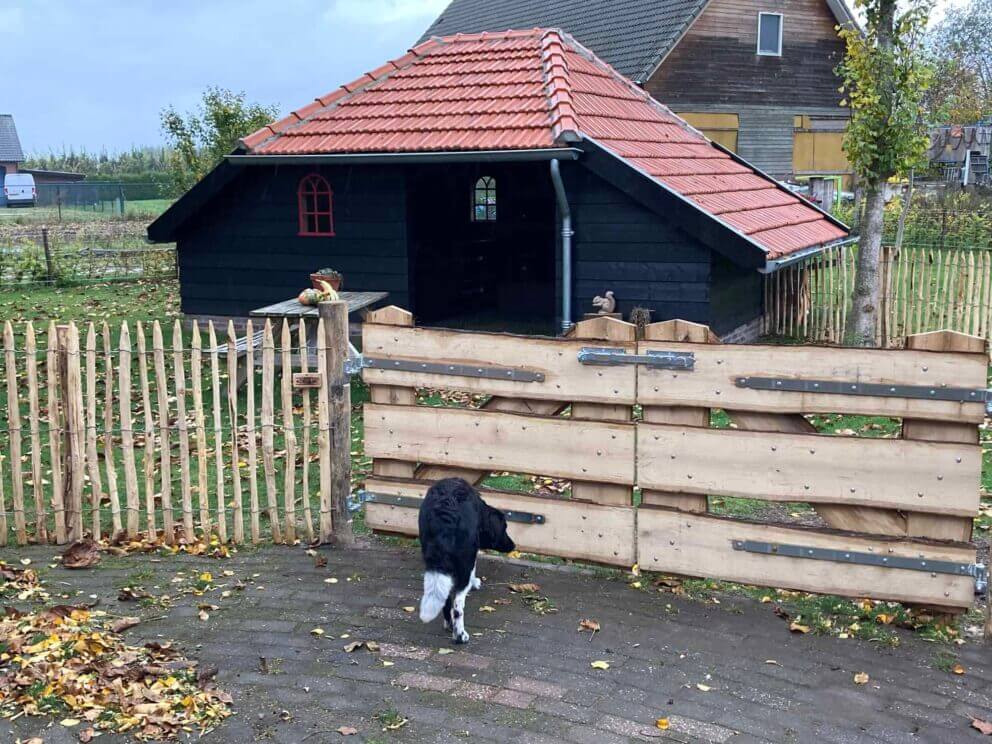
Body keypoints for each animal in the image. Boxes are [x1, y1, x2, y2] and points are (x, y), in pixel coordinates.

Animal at [416, 480, 516, 644]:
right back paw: (460, 635)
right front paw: (475, 582)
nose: (514, 546)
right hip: (465, 561)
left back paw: (449, 625)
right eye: (504, 527)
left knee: (446, 599)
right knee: (458, 604)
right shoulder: (472, 554)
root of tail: (446, 509)